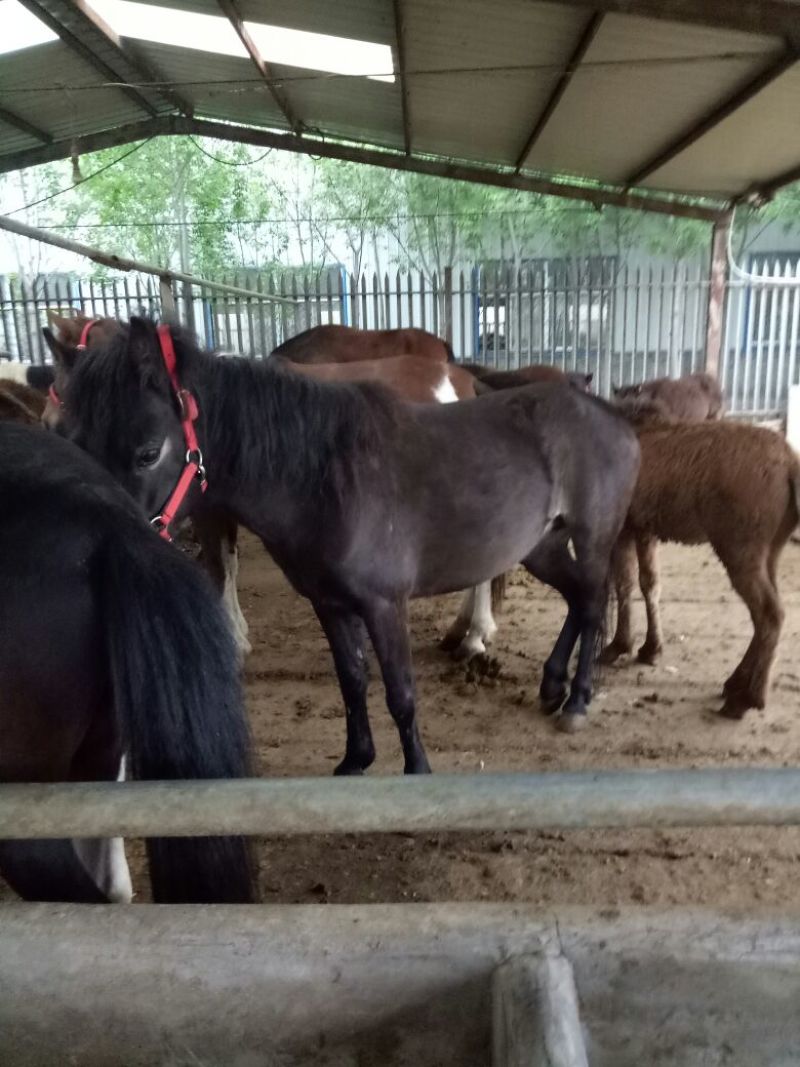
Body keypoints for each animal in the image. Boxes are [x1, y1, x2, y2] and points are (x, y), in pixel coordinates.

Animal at [49, 317, 639, 762]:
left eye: (148, 451)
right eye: (70, 440)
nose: (94, 551)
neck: (328, 478)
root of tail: (610, 415)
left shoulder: (384, 605)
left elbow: (400, 694)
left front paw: (417, 772)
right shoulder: (330, 604)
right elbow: (353, 681)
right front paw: (356, 760)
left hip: (592, 537)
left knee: (592, 601)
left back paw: (575, 701)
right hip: (539, 546)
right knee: (576, 598)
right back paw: (551, 687)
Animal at [601, 402, 799, 719]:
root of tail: (793, 465)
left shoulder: (623, 527)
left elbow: (623, 585)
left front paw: (620, 645)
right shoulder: (645, 528)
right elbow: (649, 584)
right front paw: (650, 648)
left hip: (740, 548)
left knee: (770, 612)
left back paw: (747, 698)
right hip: (772, 548)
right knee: (768, 612)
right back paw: (736, 683)